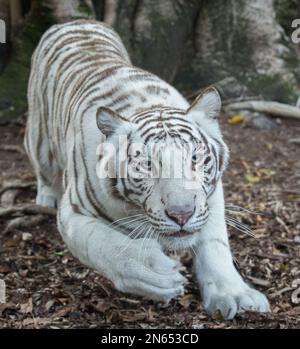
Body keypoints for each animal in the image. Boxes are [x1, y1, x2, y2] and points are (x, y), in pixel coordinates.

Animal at [24, 19, 270, 318]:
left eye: (195, 158)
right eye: (147, 165)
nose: (181, 214)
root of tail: (75, 20)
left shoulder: (211, 197)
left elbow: (215, 244)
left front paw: (233, 294)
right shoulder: (73, 213)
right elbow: (106, 245)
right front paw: (155, 273)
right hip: (38, 136)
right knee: (43, 167)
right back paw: (45, 196)